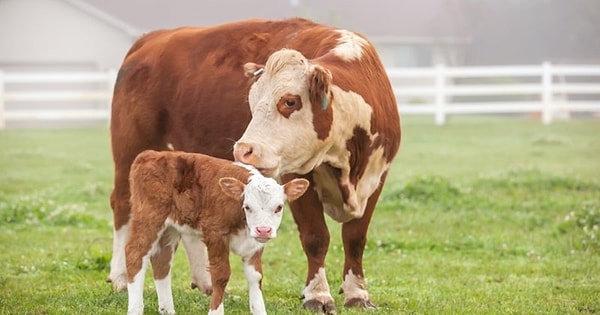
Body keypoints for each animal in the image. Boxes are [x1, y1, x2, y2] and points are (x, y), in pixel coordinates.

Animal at [123, 151, 308, 315]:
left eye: (279, 207)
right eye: (247, 206)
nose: (263, 229)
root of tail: (150, 154)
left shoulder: (254, 243)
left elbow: (255, 276)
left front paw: (259, 311)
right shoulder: (215, 234)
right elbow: (221, 276)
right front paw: (215, 311)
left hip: (171, 228)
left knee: (161, 260)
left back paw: (167, 310)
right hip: (149, 218)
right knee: (135, 253)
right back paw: (135, 309)